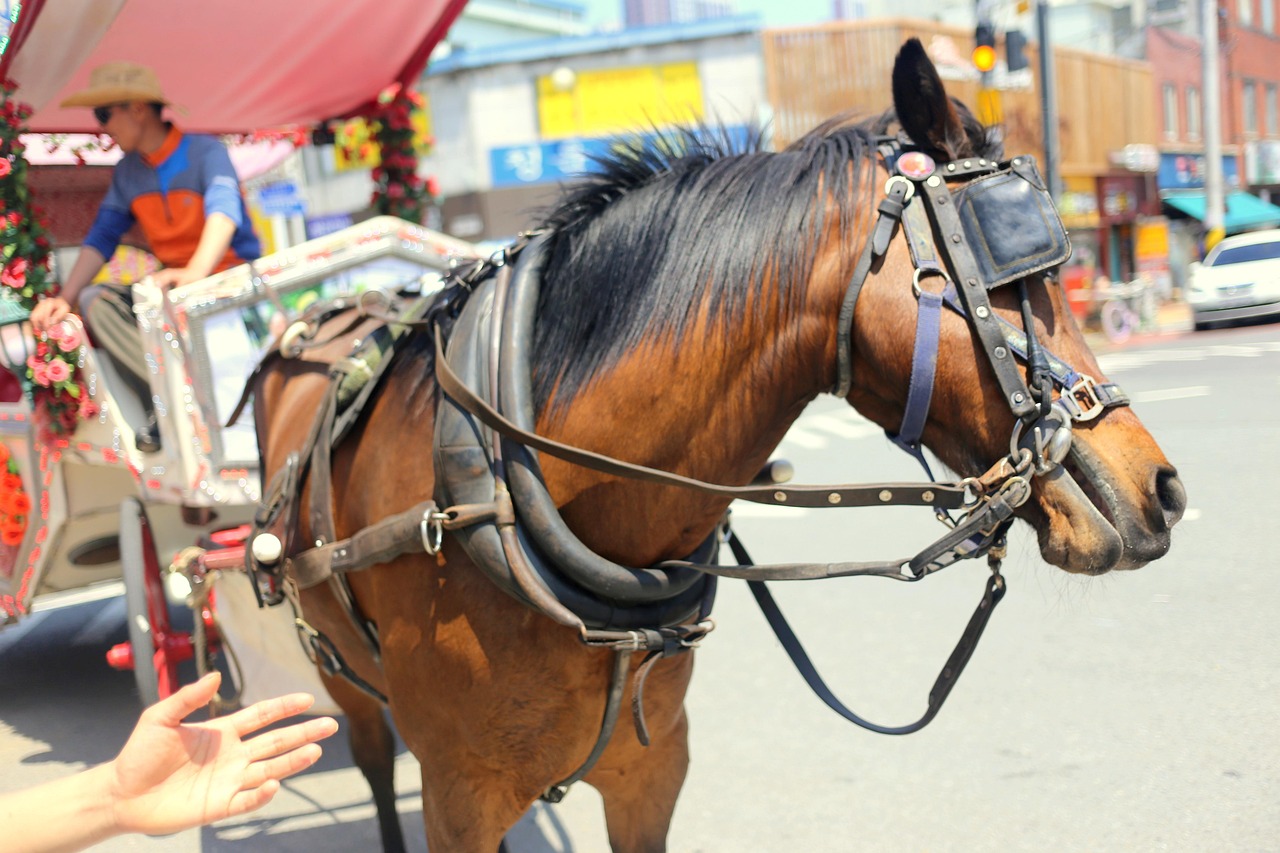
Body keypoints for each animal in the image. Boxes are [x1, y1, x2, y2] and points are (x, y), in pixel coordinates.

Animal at [252, 39, 1187, 850]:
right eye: (1018, 271)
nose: (1163, 490)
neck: (522, 493)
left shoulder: (650, 772)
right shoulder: (458, 797)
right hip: (341, 680)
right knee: (375, 766)